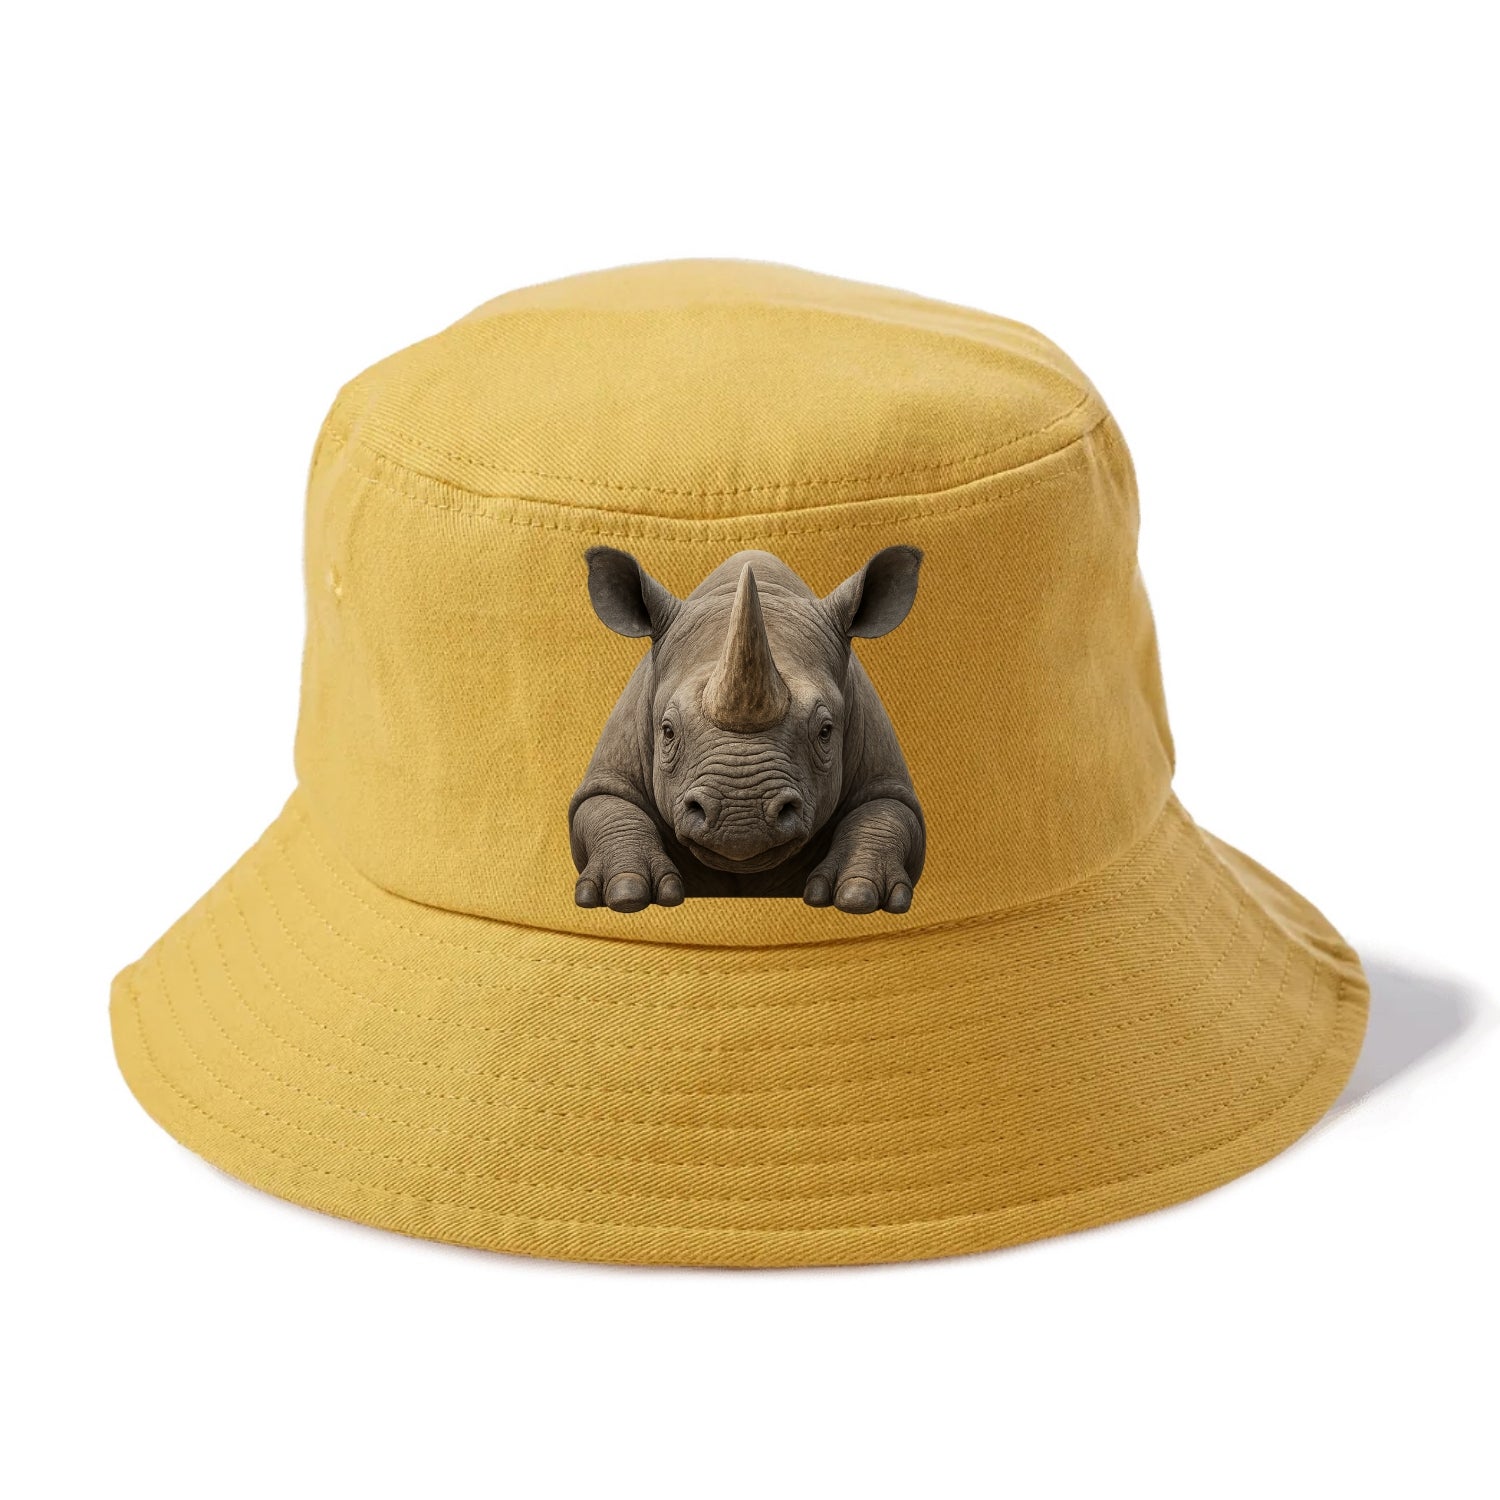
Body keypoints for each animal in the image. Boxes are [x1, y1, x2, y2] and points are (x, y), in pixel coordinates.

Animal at [569, 546, 926, 913]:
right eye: (667, 731)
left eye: (825, 731)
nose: (741, 818)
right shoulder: (611, 770)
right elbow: (608, 806)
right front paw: (626, 893)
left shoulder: (883, 773)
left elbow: (886, 812)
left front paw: (858, 896)